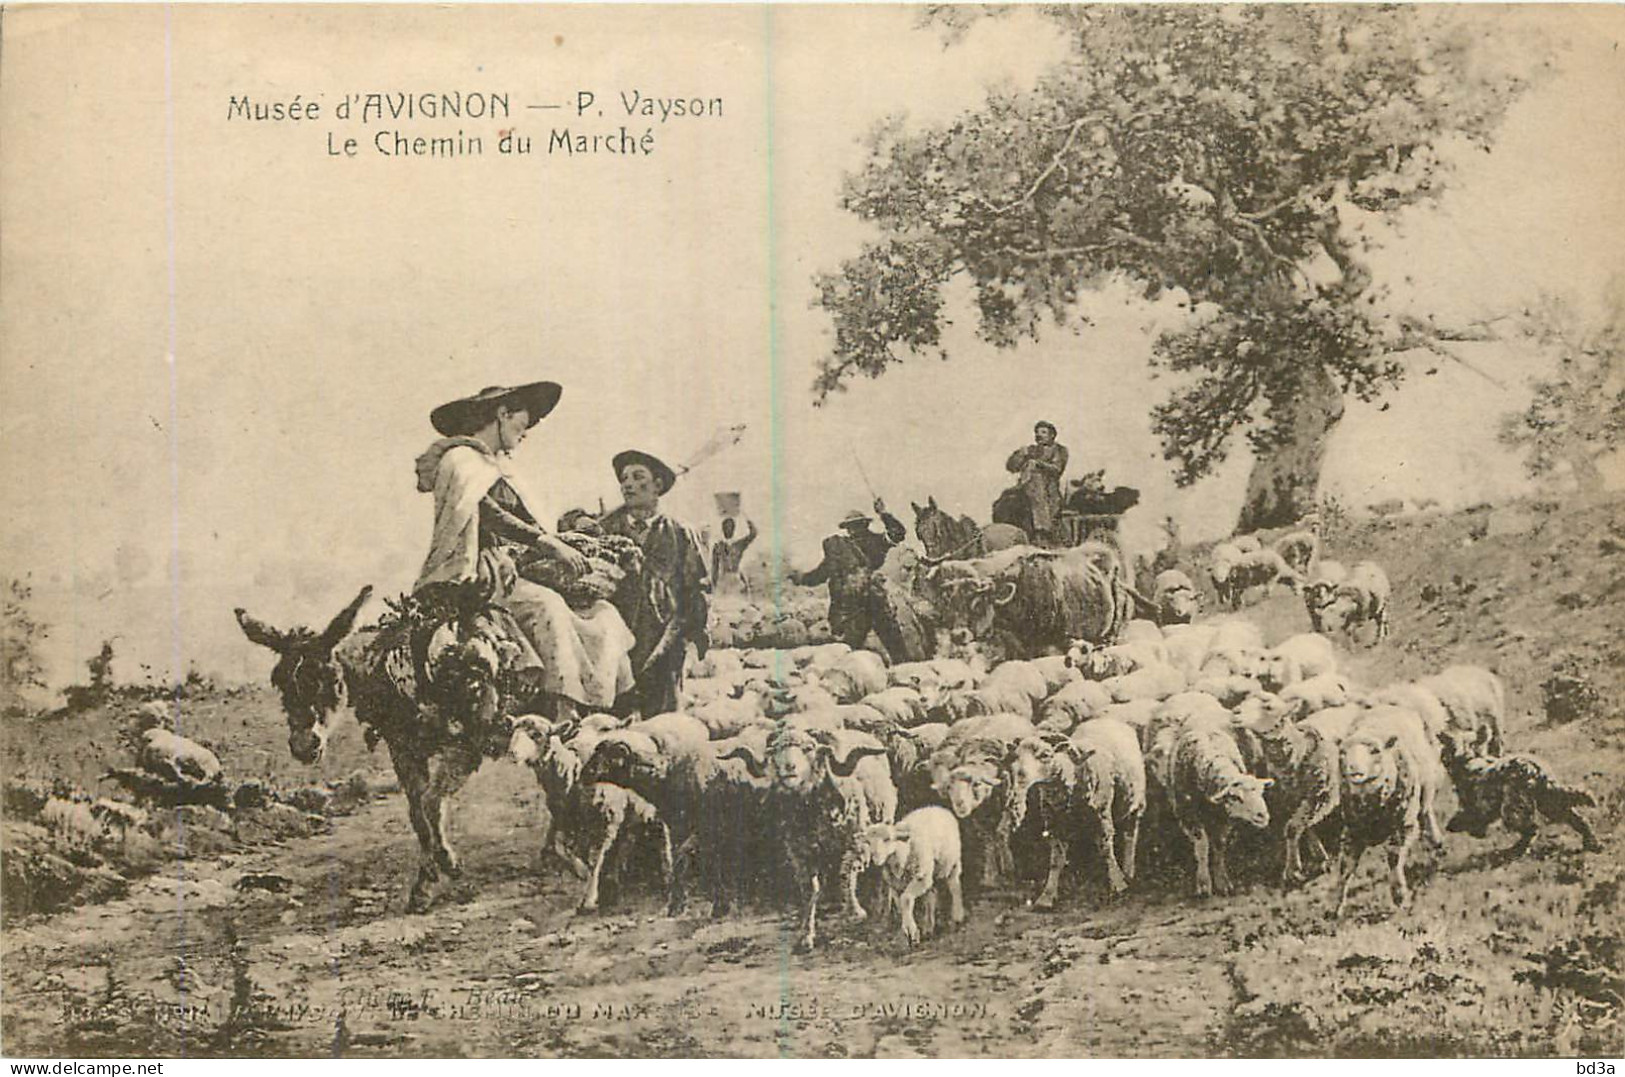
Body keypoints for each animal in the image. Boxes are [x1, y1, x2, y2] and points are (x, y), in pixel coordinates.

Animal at [232, 584, 555, 916]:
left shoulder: (466, 747)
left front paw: (448, 863)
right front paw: (425, 885)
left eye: (330, 678)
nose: (303, 746)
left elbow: (432, 804)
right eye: (280, 683)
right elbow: (418, 815)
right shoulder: (403, 752)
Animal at [864, 805, 962, 948]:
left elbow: (906, 899)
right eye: (868, 842)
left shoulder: (921, 877)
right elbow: (901, 905)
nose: (875, 858)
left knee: (954, 888)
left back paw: (957, 919)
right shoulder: (896, 886)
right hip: (930, 874)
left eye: (887, 839)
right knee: (930, 896)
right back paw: (929, 927)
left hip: (950, 865)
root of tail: (936, 807)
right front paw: (909, 933)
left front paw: (911, 931)